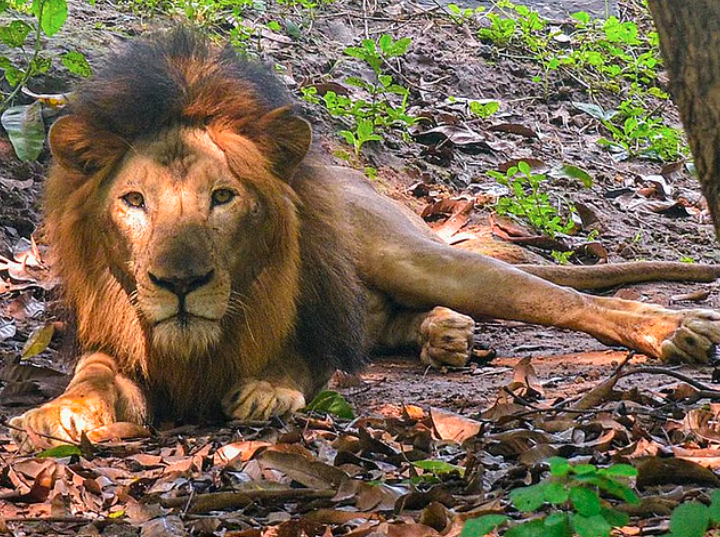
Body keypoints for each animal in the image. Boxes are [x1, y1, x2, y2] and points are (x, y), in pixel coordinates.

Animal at [9, 27, 720, 449]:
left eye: (223, 197)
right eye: (133, 202)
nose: (180, 283)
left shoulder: (312, 327)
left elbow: (299, 359)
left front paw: (267, 390)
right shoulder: (114, 341)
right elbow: (93, 374)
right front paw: (59, 412)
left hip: (411, 256)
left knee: (566, 299)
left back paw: (677, 330)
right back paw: (443, 334)